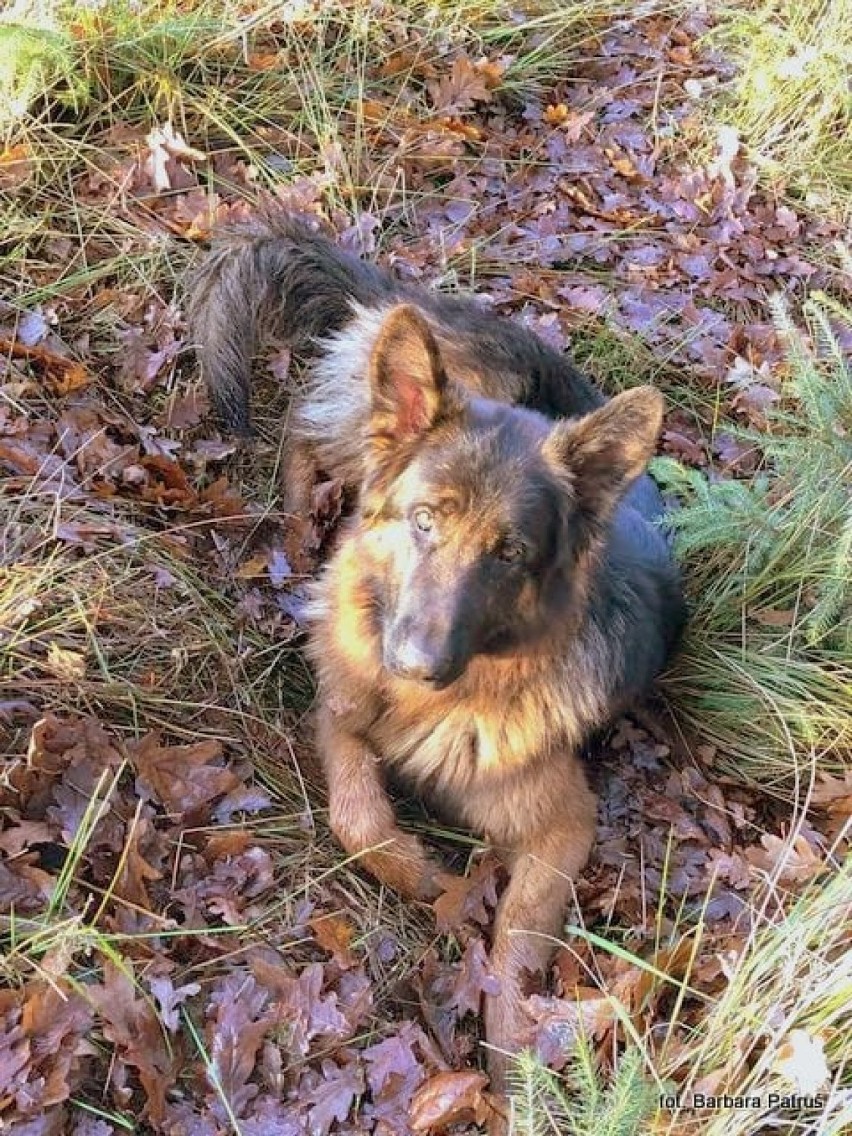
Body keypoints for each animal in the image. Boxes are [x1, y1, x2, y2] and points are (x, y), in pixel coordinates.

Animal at [188, 213, 686, 1126]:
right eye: (425, 520)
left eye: (510, 553)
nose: (415, 663)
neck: (437, 711)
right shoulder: (339, 707)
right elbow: (359, 816)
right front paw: (425, 874)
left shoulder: (565, 830)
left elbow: (513, 946)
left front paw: (516, 1068)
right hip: (368, 426)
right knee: (306, 434)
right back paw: (301, 521)